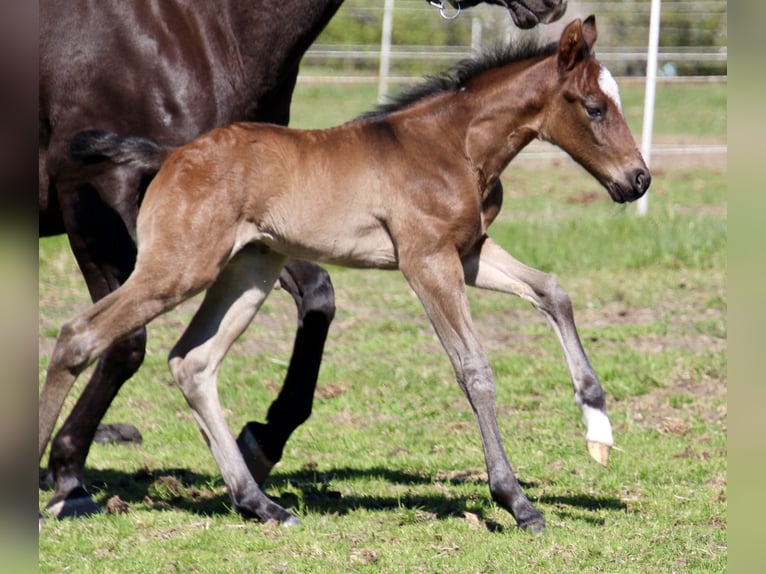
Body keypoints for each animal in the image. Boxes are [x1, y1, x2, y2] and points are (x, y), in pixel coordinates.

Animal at [41, 15, 649, 531]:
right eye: (594, 107)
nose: (638, 179)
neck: (453, 145)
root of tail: (169, 155)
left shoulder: (470, 252)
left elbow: (552, 291)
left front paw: (598, 424)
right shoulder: (426, 260)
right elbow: (474, 368)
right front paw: (517, 502)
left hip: (249, 270)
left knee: (192, 363)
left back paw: (261, 503)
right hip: (178, 268)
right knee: (80, 335)